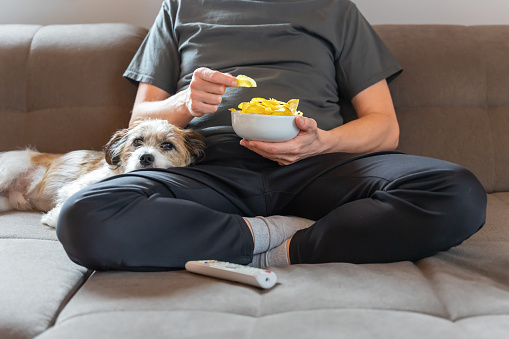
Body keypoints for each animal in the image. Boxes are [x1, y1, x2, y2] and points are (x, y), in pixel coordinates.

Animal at [0, 119, 206, 228]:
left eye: (167, 145)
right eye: (137, 142)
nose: (145, 157)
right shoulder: (74, 187)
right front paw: (52, 218)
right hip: (8, 172)